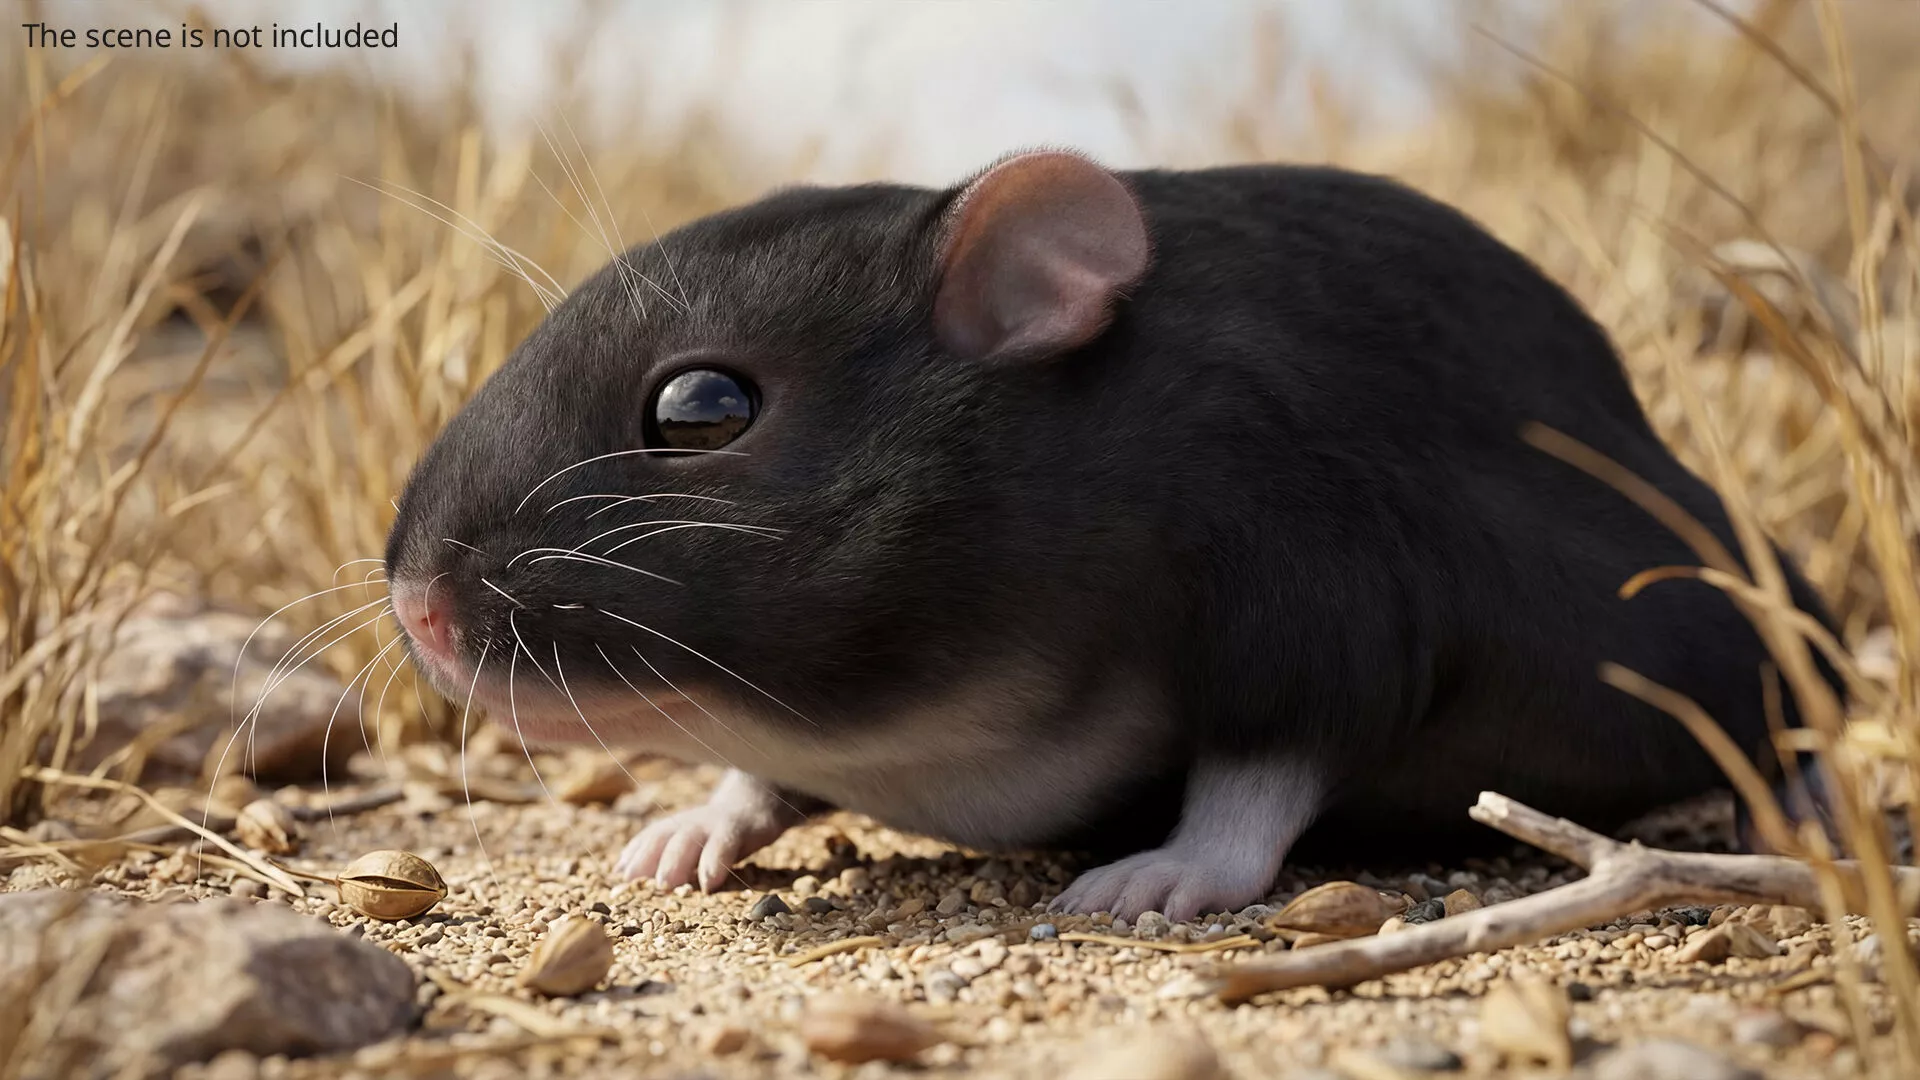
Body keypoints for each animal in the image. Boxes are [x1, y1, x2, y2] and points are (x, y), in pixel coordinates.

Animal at [383, 149, 1838, 921]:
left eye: (701, 408)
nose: (416, 613)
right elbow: (760, 775)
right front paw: (699, 821)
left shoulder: (1310, 555)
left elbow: (1282, 751)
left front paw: (1172, 871)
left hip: (1739, 597)